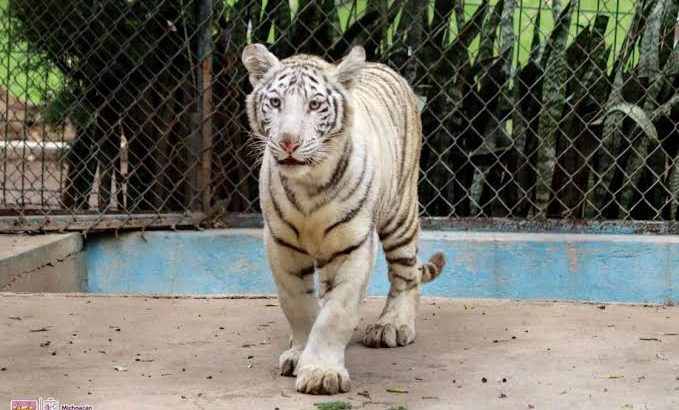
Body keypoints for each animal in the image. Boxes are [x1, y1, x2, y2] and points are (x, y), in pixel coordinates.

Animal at [243, 44, 446, 394]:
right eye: (276, 102)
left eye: (314, 104)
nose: (288, 142)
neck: (309, 185)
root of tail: (383, 66)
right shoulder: (280, 243)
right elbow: (297, 304)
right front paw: (300, 354)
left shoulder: (355, 244)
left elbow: (337, 313)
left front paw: (321, 372)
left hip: (400, 216)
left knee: (406, 276)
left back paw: (392, 326)